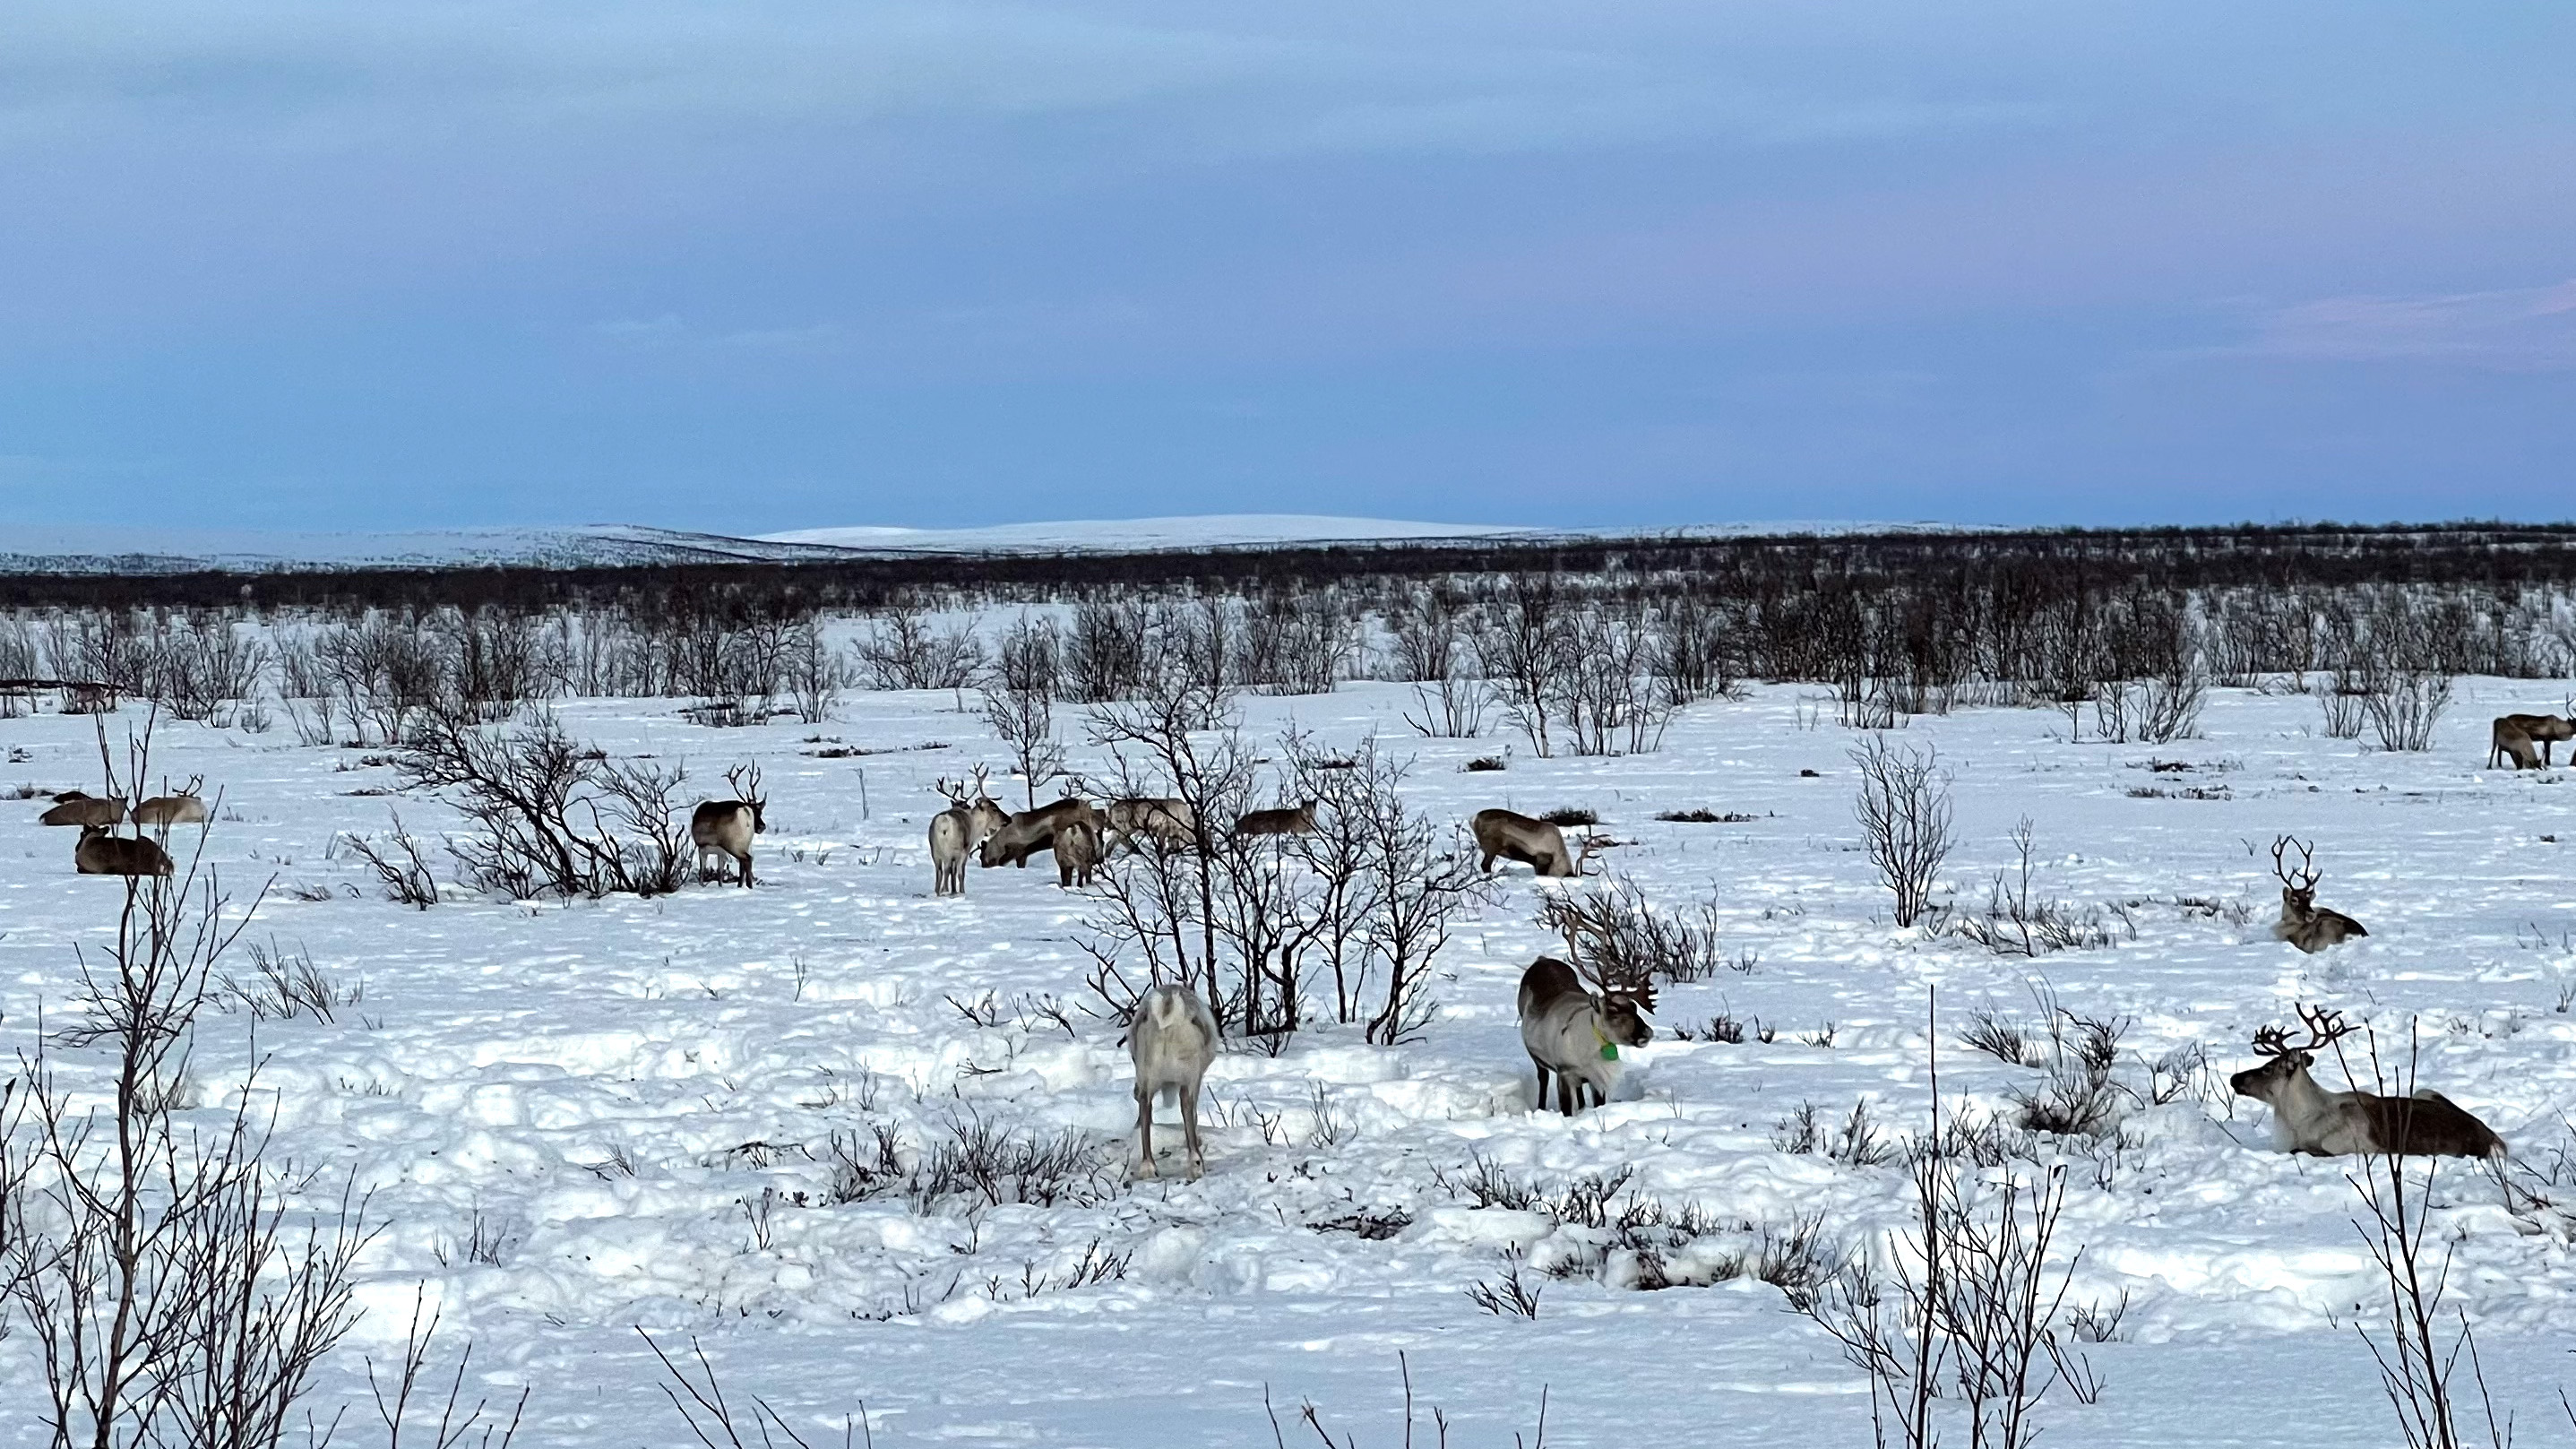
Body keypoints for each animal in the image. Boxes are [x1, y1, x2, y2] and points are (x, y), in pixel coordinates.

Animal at [690, 764, 766, 888]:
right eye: (757, 812)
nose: (762, 826)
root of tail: (745, 810)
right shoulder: (720, 852)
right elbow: (720, 872)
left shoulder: (702, 847)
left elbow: (702, 871)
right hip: (744, 843)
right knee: (744, 863)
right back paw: (743, 885)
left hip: (732, 844)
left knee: (747, 859)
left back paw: (748, 886)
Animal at [1130, 982, 1218, 1179]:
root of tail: (1167, 1005)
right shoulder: (1196, 1077)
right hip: (1188, 1073)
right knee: (1186, 1103)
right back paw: (1196, 1164)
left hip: (1147, 1073)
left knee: (1145, 1102)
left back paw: (1148, 1167)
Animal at [1517, 955, 1655, 1114]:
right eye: (1613, 1010)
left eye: (1634, 1006)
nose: (1647, 1032)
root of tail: (1543, 959)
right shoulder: (1564, 1072)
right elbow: (1566, 1109)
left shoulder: (1596, 1078)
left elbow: (1598, 1103)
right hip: (1536, 1056)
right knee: (1543, 1078)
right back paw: (1541, 1107)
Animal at [2229, 1005, 2506, 1159]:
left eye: (2267, 1068)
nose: (2234, 1078)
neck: (2298, 1122)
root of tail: (2493, 1138)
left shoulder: (2355, 1146)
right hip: (2425, 1090)